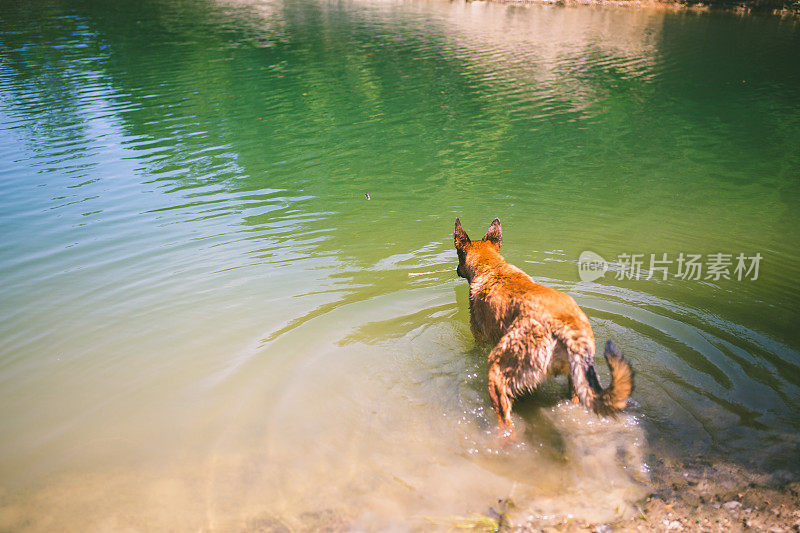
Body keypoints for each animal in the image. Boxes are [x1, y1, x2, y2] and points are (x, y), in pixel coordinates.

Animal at [456, 217, 632, 436]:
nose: (456, 270)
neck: (491, 265)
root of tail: (565, 325)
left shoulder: (479, 336)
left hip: (497, 373)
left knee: (505, 422)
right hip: (576, 383)